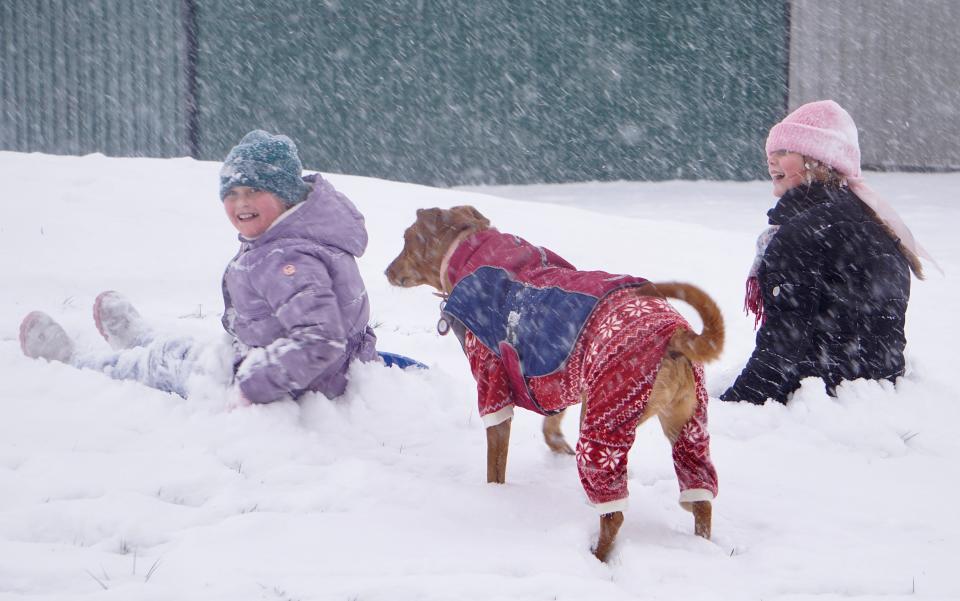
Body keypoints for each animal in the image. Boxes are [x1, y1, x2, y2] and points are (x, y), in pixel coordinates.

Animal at [386, 206, 724, 564]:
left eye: (407, 239)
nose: (386, 271)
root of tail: (676, 335)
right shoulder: (559, 380)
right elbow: (551, 423)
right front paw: (558, 447)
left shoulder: (493, 388)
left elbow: (496, 464)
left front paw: (494, 498)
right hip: (688, 427)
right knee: (701, 499)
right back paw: (702, 546)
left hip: (605, 424)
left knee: (614, 513)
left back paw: (597, 555)